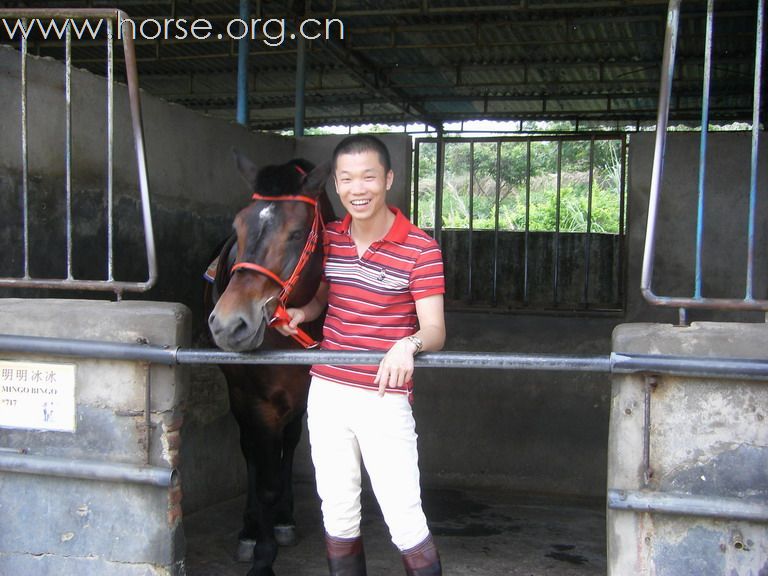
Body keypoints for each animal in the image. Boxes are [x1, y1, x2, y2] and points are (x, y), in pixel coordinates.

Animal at [206, 152, 334, 576]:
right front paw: (262, 554)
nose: (229, 324)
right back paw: (251, 528)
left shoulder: (308, 394)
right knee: (250, 452)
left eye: (296, 233)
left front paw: (281, 519)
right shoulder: (256, 400)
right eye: (238, 227)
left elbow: (287, 454)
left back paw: (283, 518)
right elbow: (264, 479)